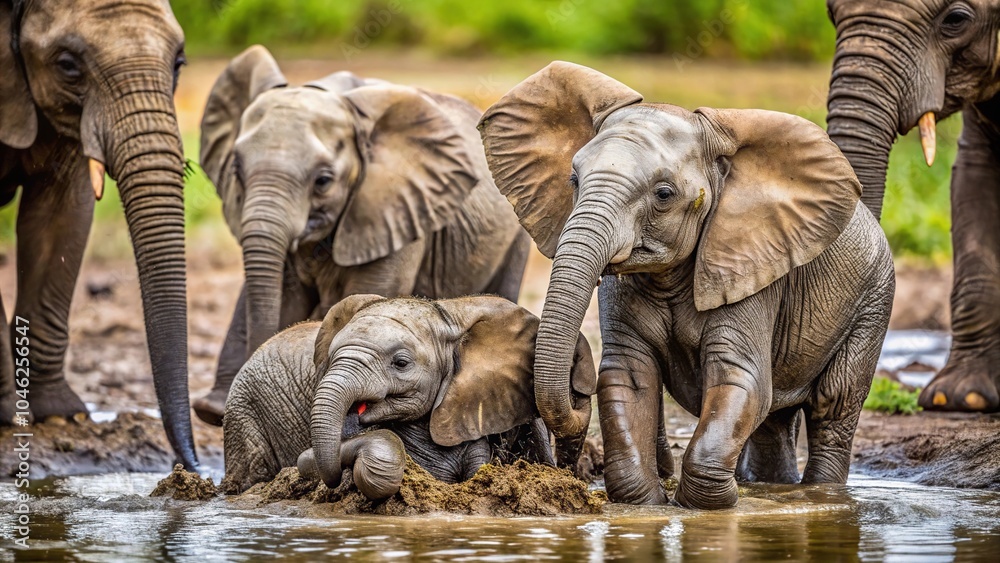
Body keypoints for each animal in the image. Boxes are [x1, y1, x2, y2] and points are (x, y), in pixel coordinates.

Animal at [479, 62, 895, 509]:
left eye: (664, 194)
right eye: (573, 180)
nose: (576, 392)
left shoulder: (749, 267)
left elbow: (739, 379)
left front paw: (711, 503)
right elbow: (629, 376)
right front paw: (649, 502)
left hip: (873, 299)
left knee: (833, 404)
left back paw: (821, 494)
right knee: (776, 418)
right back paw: (770, 487)